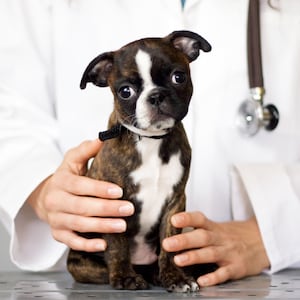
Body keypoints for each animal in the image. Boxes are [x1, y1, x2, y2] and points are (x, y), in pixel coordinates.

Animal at [66, 31, 211, 292]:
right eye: (125, 92)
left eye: (178, 77)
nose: (156, 96)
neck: (151, 141)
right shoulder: (113, 206)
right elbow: (118, 245)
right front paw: (125, 277)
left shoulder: (175, 202)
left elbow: (169, 244)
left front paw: (175, 277)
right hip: (83, 264)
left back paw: (157, 274)